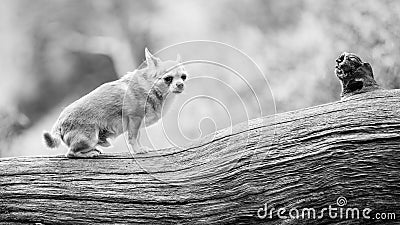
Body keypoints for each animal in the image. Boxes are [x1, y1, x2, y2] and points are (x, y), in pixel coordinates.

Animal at [43, 48, 188, 158]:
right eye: (168, 79)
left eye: (183, 77)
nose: (180, 84)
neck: (150, 88)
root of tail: (59, 123)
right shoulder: (135, 119)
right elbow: (133, 138)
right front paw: (138, 150)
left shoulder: (135, 123)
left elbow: (136, 137)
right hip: (90, 138)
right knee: (71, 153)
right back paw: (89, 153)